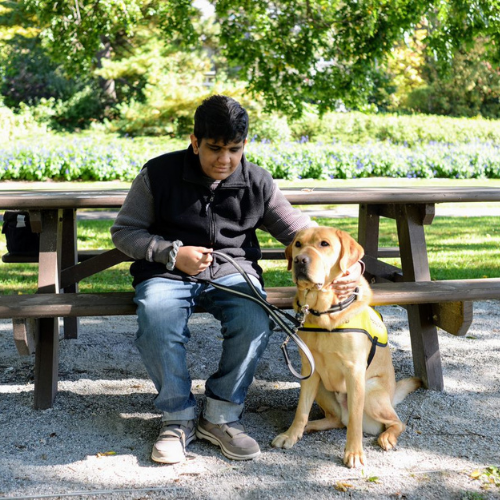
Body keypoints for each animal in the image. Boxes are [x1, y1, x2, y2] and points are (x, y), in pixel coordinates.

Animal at [272, 227, 420, 468]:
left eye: (324, 244)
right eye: (298, 244)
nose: (299, 260)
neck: (324, 312)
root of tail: (390, 396)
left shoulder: (354, 372)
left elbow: (355, 422)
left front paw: (354, 453)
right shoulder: (308, 370)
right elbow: (301, 410)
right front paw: (291, 434)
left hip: (370, 392)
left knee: (394, 422)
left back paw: (387, 437)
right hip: (322, 387)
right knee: (337, 420)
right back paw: (310, 427)